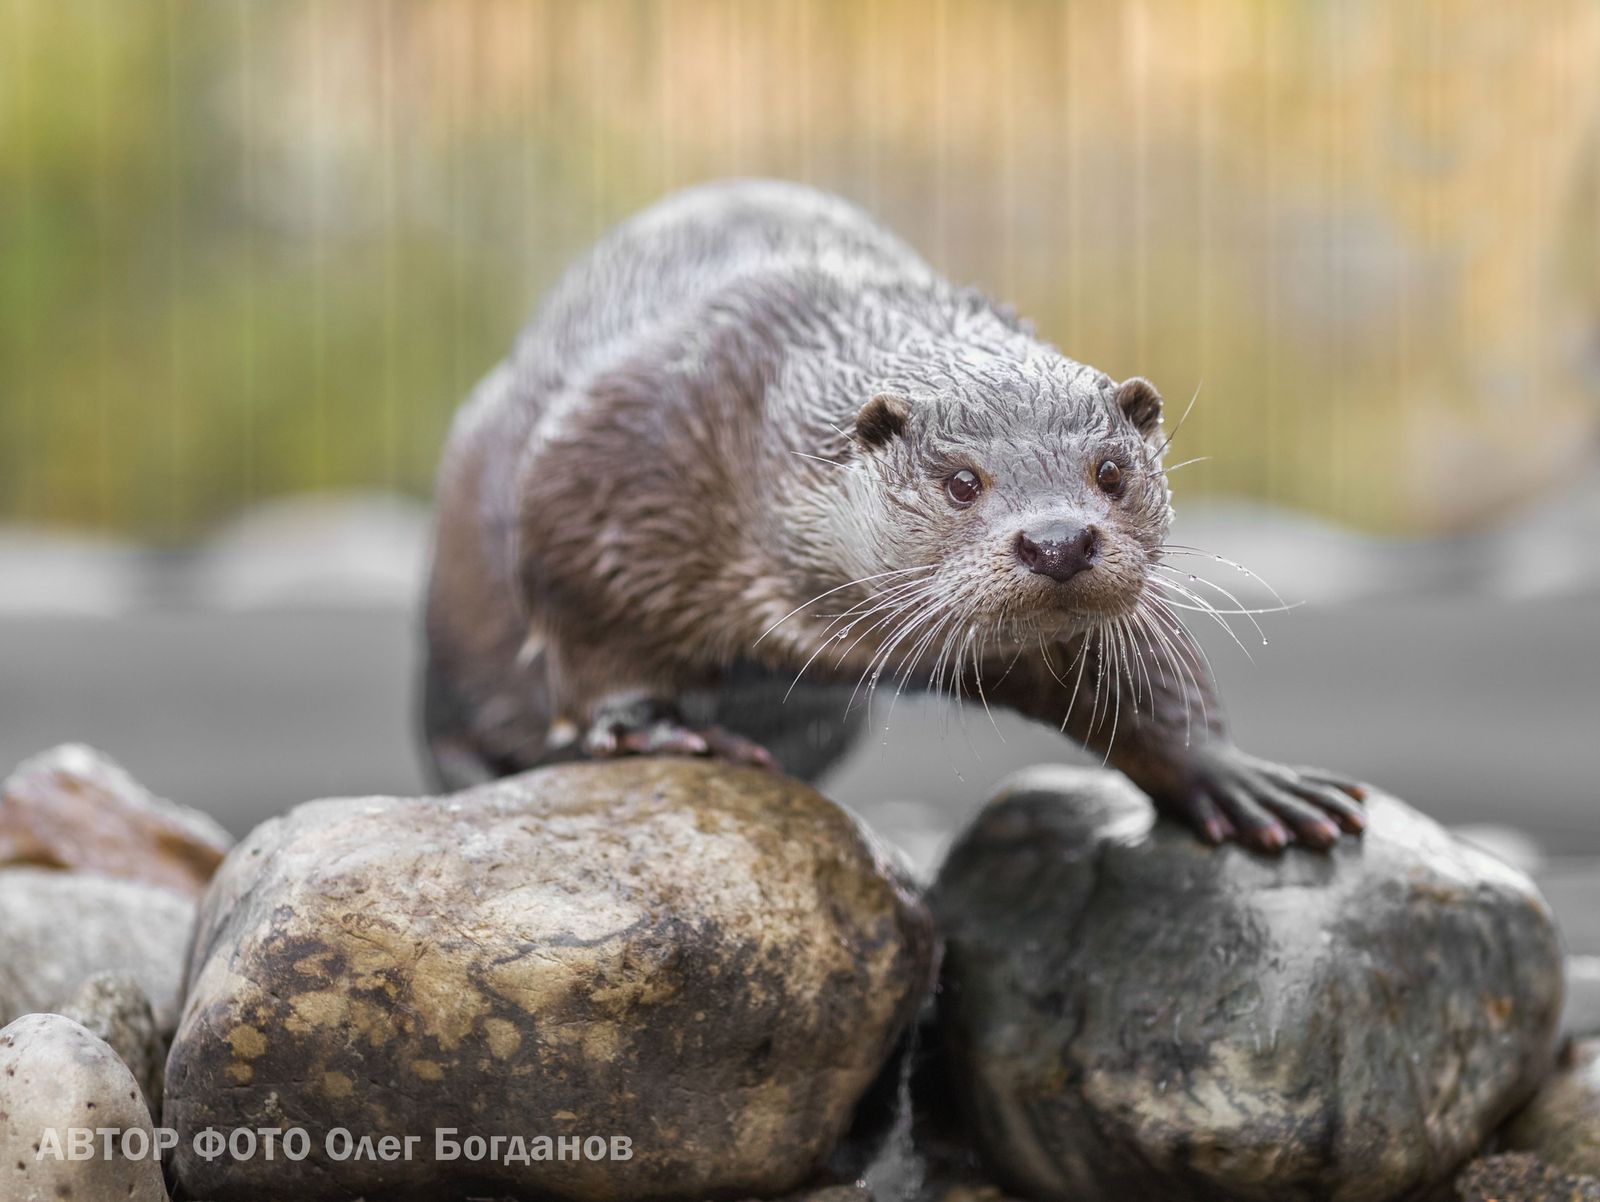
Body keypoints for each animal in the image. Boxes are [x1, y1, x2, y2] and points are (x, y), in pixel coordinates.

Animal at [422, 178, 1363, 857]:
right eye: (961, 482)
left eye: (1110, 471)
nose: (1059, 540)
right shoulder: (613, 460)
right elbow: (590, 625)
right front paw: (657, 729)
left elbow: (1145, 679)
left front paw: (1240, 779)